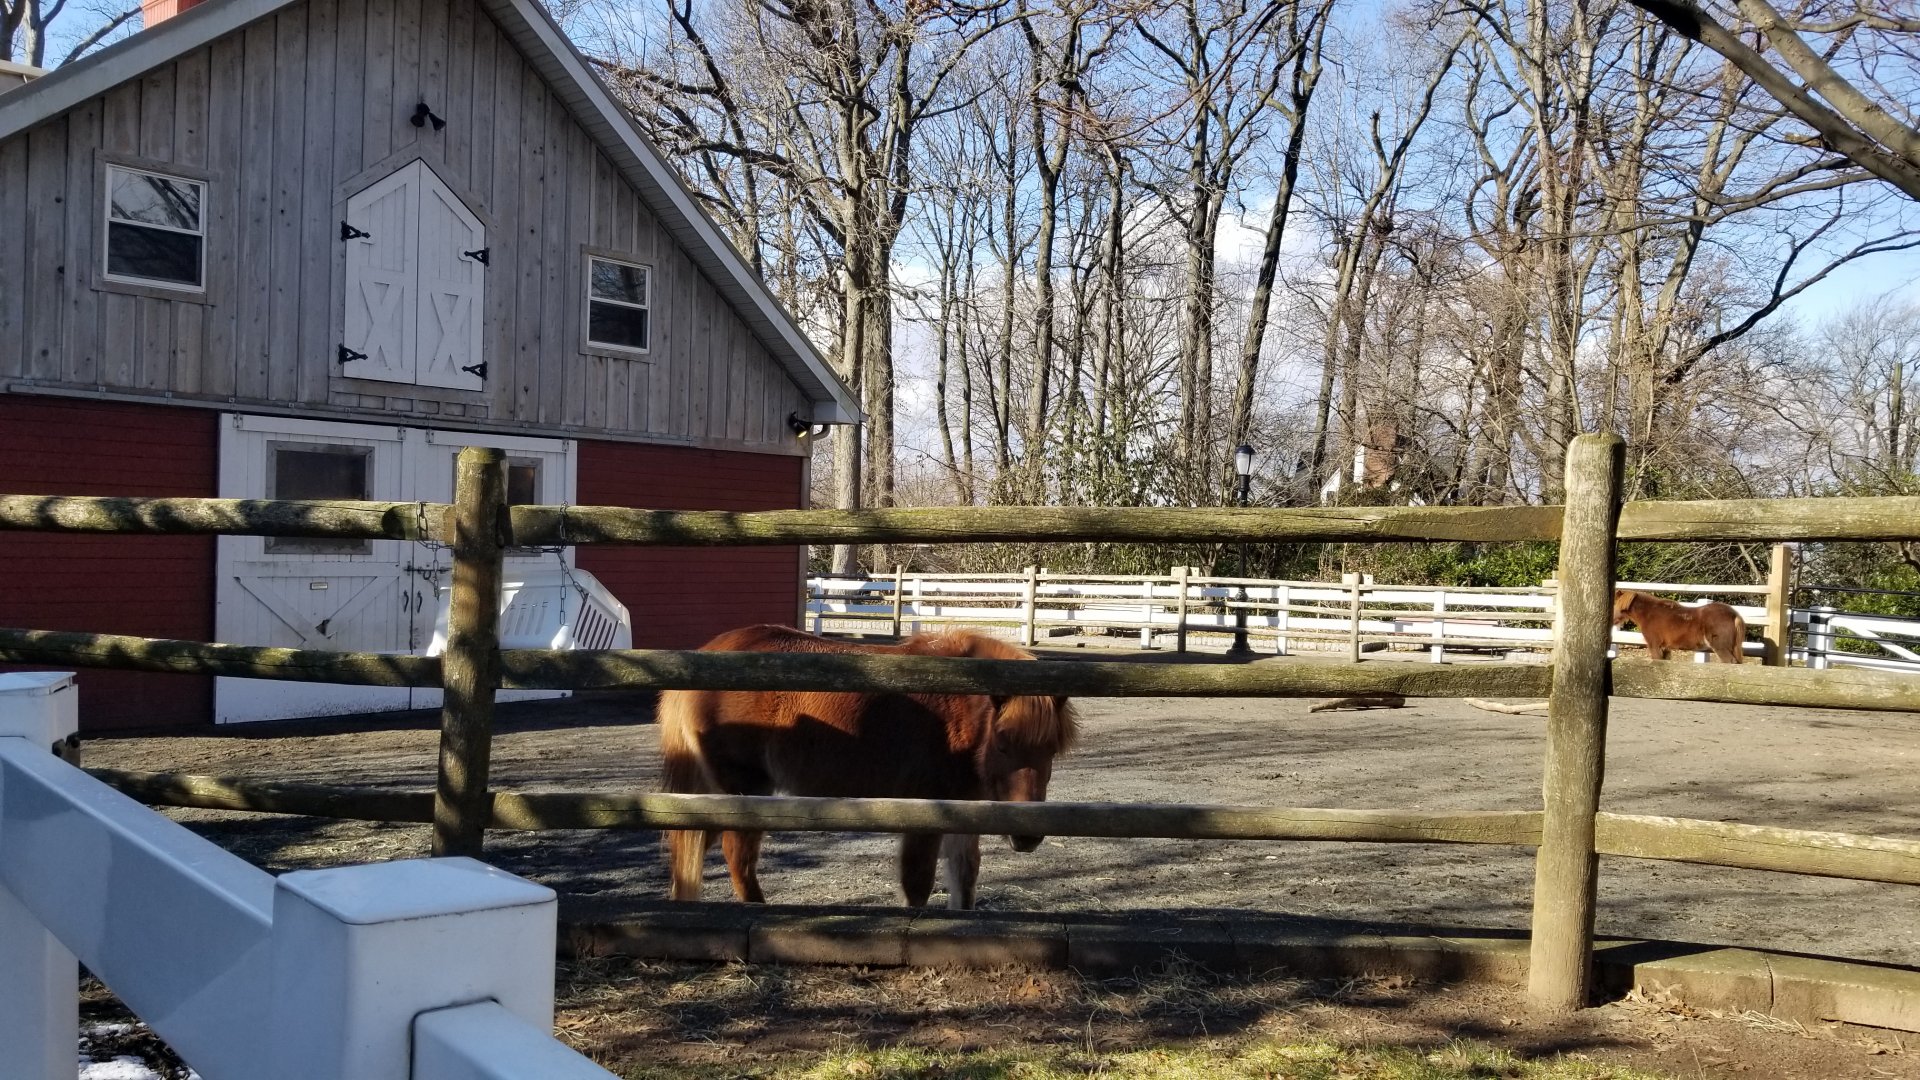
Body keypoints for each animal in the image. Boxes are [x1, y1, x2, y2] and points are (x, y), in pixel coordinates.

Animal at [658, 624, 1078, 910]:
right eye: (1003, 744)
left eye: (1051, 750)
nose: (1026, 837)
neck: (958, 708)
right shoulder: (927, 815)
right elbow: (918, 883)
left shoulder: (965, 813)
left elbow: (965, 878)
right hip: (746, 791)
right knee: (737, 855)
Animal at [1611, 589, 1746, 663]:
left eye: (1614, 604)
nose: (1611, 620)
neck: (1649, 613)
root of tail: (1734, 614)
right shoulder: (1665, 648)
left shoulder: (1655, 646)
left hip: (1721, 647)